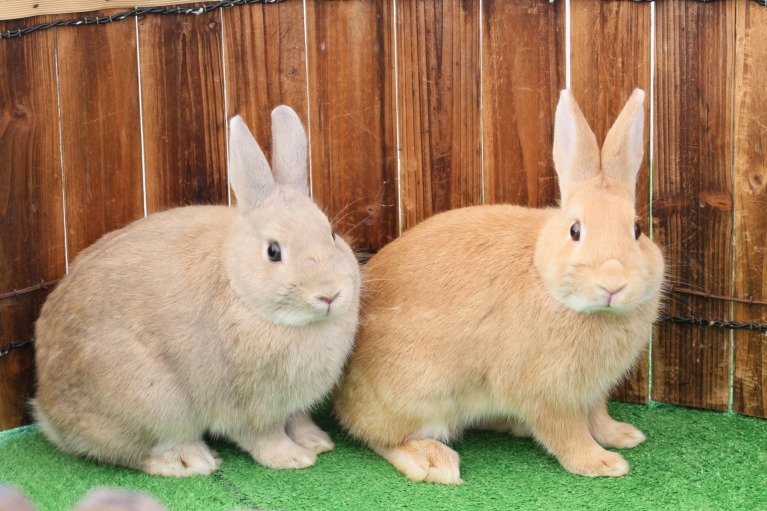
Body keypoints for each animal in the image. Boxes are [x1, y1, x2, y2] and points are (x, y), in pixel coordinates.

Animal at [31, 106, 362, 478]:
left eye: (331, 234)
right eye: (274, 251)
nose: (329, 295)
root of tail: (48, 412)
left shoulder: (292, 405)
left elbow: (299, 419)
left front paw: (316, 442)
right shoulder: (248, 407)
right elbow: (263, 436)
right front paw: (293, 458)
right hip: (156, 403)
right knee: (135, 452)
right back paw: (190, 461)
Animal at [336, 90, 664, 486]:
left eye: (637, 229)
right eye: (575, 230)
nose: (613, 283)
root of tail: (342, 395)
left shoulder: (591, 392)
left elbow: (597, 416)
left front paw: (623, 436)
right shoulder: (548, 393)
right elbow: (567, 432)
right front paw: (602, 463)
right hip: (421, 394)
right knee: (379, 436)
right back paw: (433, 462)